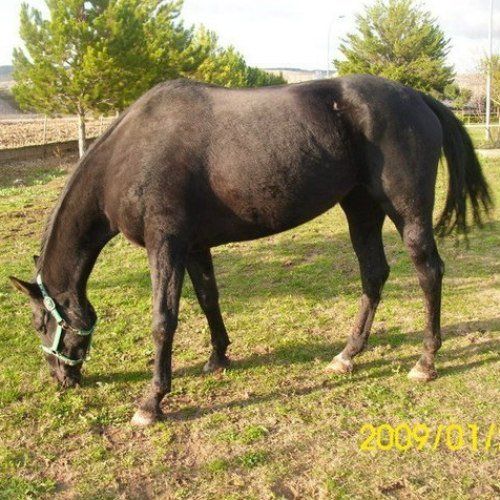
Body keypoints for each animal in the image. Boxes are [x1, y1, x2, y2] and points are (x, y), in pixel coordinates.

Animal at [10, 74, 492, 426]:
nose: (60, 378)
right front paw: (218, 356)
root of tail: (417, 97)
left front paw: (151, 402)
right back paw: (347, 355)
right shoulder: (194, 246)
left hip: (406, 211)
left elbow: (163, 320)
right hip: (361, 207)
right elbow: (208, 299)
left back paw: (426, 361)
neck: (129, 155)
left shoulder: (165, 245)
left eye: (39, 324)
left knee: (428, 271)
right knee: (373, 273)